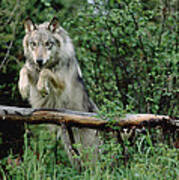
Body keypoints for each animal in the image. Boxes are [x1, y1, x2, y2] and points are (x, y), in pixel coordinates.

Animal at [18, 17, 101, 170]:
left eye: (47, 44)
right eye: (33, 44)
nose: (39, 60)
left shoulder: (62, 84)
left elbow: (46, 72)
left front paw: (42, 87)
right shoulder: (33, 73)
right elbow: (24, 69)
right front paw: (23, 87)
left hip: (89, 151)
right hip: (71, 148)